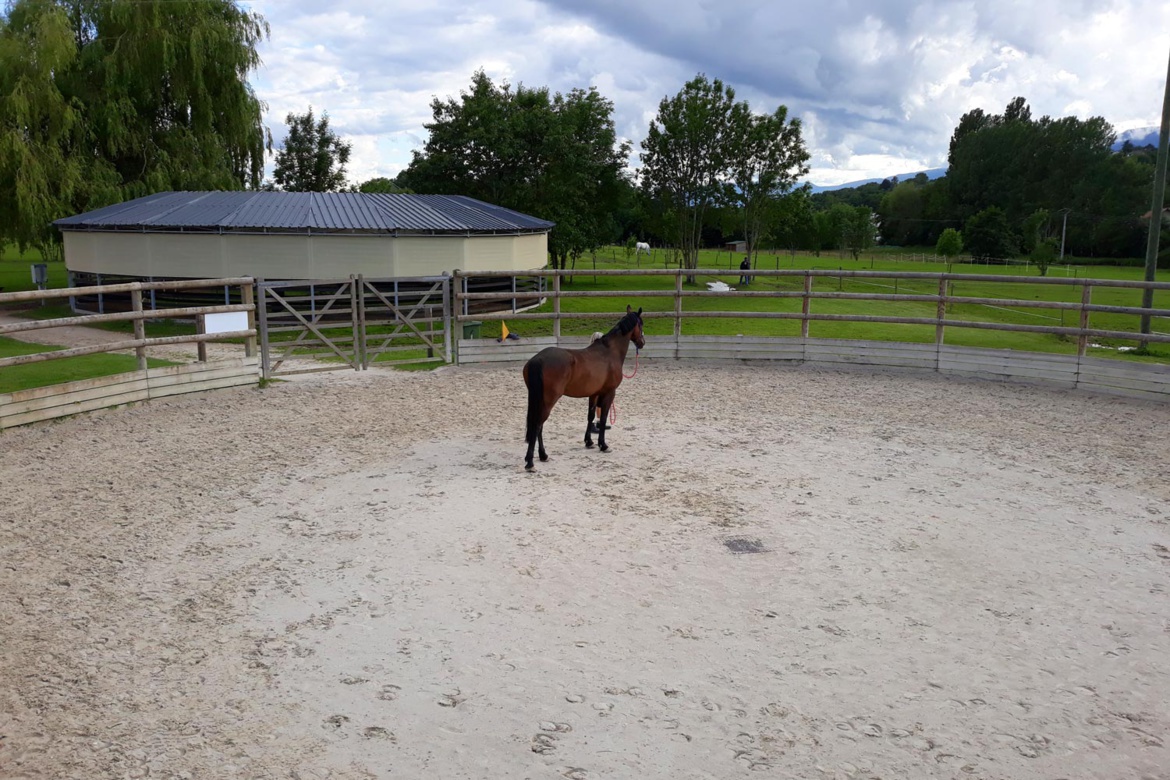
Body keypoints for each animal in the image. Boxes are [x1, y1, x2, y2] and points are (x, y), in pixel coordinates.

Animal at [524, 306, 645, 470]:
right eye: (641, 324)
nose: (642, 342)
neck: (610, 352)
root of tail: (538, 359)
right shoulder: (609, 393)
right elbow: (604, 417)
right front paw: (603, 445)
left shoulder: (594, 393)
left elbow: (591, 416)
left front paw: (589, 442)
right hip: (549, 400)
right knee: (538, 425)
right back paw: (531, 461)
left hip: (539, 400)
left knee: (539, 427)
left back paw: (543, 456)